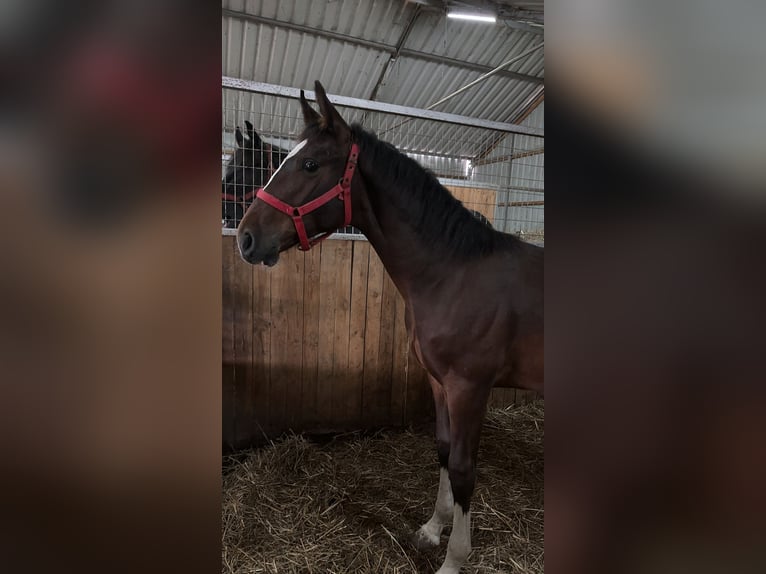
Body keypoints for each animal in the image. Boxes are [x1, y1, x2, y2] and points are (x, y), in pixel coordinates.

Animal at [236, 82, 544, 574]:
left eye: (310, 163)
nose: (245, 239)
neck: (453, 274)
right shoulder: (439, 382)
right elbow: (442, 449)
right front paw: (432, 529)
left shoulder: (469, 388)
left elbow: (463, 467)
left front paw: (454, 559)